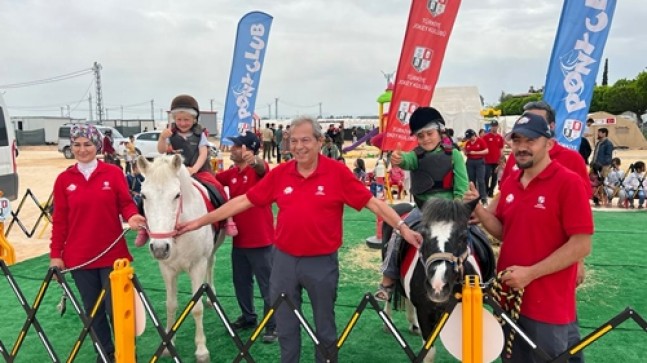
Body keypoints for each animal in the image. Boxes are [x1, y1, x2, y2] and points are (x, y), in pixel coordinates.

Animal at [138, 155, 227, 362]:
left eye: (177, 195)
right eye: (144, 196)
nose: (160, 248)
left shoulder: (197, 266)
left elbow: (196, 308)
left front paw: (201, 350)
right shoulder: (167, 269)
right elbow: (171, 305)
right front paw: (168, 344)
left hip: (212, 250)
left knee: (211, 264)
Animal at [382, 199, 494, 363]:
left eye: (463, 237)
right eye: (423, 235)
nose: (438, 286)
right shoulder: (424, 311)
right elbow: (429, 353)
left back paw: (413, 325)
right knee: (389, 295)